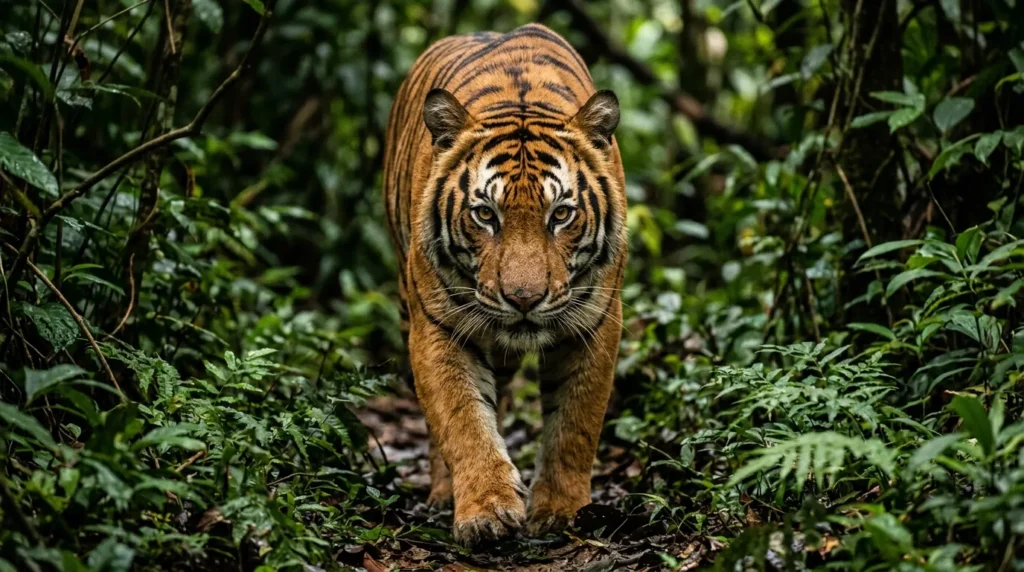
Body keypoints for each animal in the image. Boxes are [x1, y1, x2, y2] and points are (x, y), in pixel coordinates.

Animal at [382, 23, 627, 546]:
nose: (524, 299)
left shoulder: (594, 325)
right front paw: (487, 511)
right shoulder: (438, 327)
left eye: (561, 214)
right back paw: (443, 494)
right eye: (484, 215)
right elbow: (462, 420)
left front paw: (560, 511)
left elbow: (575, 424)